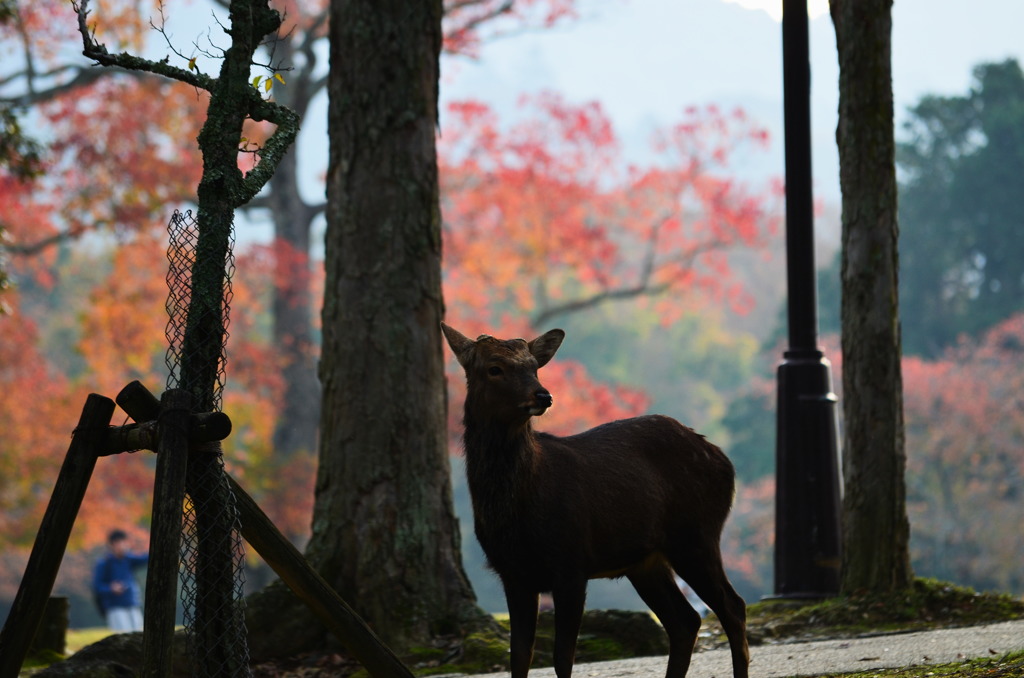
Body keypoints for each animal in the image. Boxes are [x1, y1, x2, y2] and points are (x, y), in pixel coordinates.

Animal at [442, 323, 753, 678]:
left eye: (534, 367)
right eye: (494, 368)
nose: (543, 395)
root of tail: (724, 460)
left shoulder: (571, 561)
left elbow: (563, 657)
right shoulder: (512, 572)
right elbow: (519, 657)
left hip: (696, 534)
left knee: (732, 606)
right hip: (647, 560)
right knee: (685, 621)